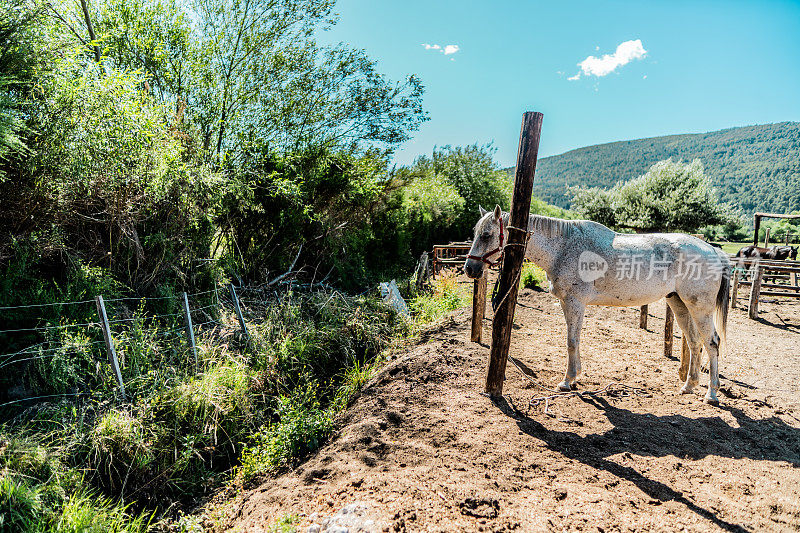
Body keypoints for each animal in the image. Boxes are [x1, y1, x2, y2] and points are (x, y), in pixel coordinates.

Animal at [462, 205, 732, 404]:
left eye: (486, 235)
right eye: (475, 233)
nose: (470, 269)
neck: (564, 247)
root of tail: (713, 251)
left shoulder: (575, 303)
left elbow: (571, 341)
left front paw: (567, 381)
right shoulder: (568, 304)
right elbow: (574, 340)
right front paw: (575, 377)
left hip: (700, 308)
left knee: (712, 343)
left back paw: (712, 394)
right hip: (679, 303)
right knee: (695, 343)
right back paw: (688, 386)